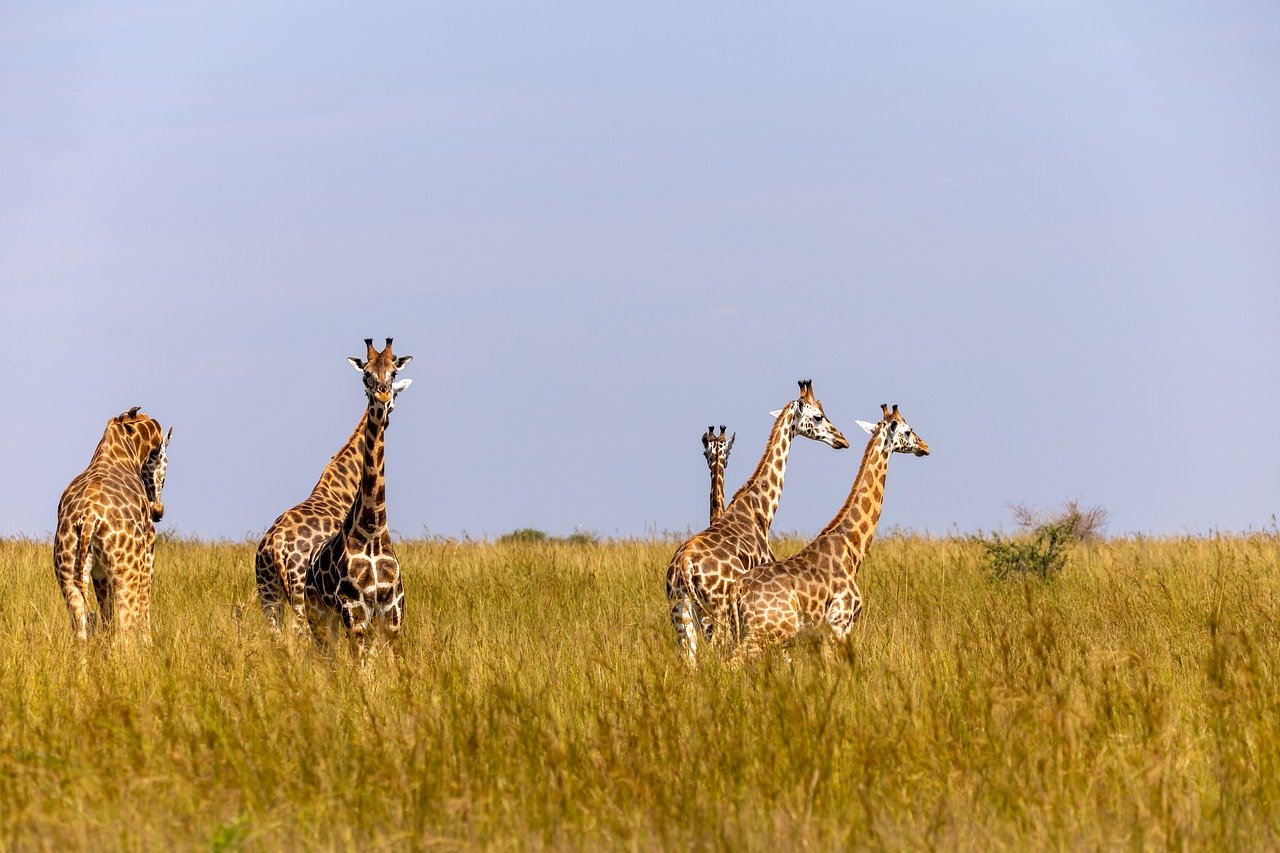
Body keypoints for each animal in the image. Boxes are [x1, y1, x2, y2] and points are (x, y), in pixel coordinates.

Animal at [52, 404, 171, 637]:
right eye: (164, 461)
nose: (158, 512)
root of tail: (89, 517)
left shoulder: (99, 573)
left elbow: (106, 613)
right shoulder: (148, 552)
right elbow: (144, 605)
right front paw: (148, 641)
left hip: (67, 573)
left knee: (81, 627)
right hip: (126, 572)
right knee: (126, 628)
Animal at [303, 335, 409, 648]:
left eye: (393, 372)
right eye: (366, 374)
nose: (383, 396)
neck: (373, 531)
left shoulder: (392, 618)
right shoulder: (355, 614)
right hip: (320, 618)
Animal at [665, 379, 855, 666]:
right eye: (818, 416)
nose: (841, 439)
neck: (760, 510)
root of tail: (685, 567)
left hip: (681, 613)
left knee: (691, 661)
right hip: (717, 613)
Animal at [732, 404, 931, 655]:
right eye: (908, 431)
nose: (925, 447)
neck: (851, 547)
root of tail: (737, 591)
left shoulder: (818, 636)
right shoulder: (840, 624)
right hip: (768, 631)